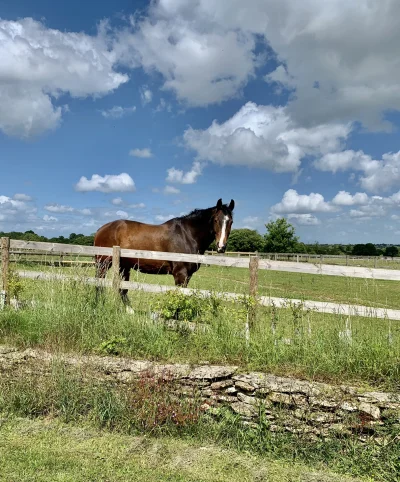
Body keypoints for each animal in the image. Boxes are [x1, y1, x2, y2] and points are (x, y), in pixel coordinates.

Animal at [94, 198, 234, 304]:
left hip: (124, 266)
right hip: (103, 264)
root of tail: (102, 229)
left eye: (231, 222)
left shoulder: (188, 276)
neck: (187, 235)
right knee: (99, 284)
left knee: (122, 289)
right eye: (216, 220)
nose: (221, 246)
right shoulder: (180, 274)